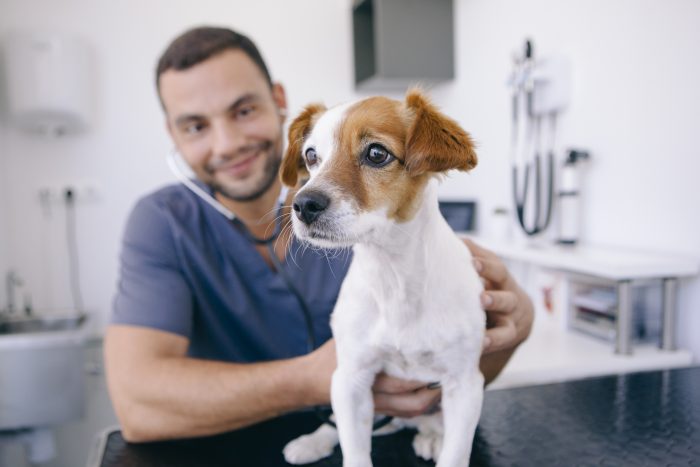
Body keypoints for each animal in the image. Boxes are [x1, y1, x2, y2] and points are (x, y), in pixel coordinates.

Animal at [278, 89, 486, 466]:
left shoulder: (464, 385)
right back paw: (313, 441)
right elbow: (354, 450)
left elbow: (455, 454)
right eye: (311, 156)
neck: (393, 275)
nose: (302, 205)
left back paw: (431, 435)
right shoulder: (351, 378)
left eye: (376, 153)